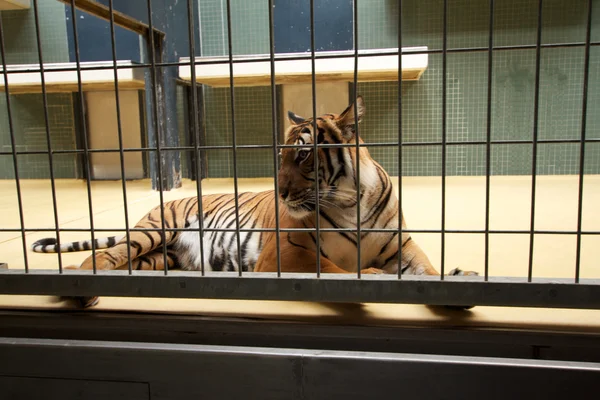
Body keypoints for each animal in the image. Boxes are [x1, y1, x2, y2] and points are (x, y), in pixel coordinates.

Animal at [31, 95, 478, 308]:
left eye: (302, 154)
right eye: (280, 156)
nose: (279, 191)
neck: (352, 202)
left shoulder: (401, 246)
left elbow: (426, 271)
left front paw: (458, 280)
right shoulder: (286, 253)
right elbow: (336, 270)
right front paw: (369, 277)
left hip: (160, 260)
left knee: (123, 264)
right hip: (155, 230)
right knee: (103, 256)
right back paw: (82, 289)